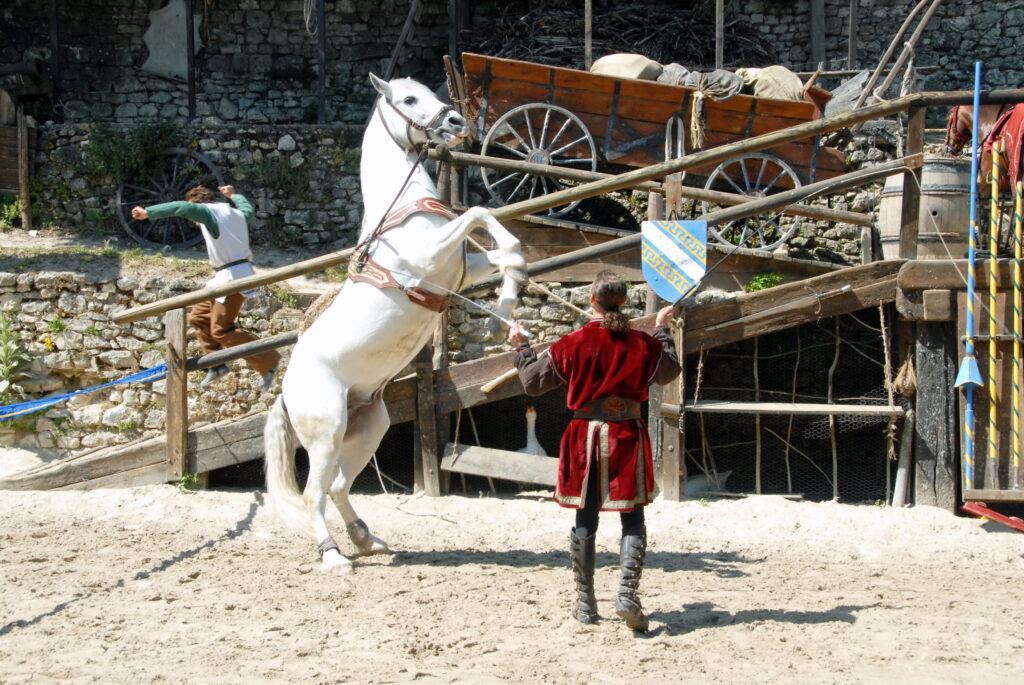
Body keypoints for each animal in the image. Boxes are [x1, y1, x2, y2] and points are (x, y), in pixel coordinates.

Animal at [262, 72, 528, 569]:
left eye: (432, 91)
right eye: (408, 99)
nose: (456, 122)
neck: (402, 209)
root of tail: (286, 394)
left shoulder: (458, 271)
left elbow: (505, 257)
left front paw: (501, 316)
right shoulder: (429, 260)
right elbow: (478, 213)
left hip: (369, 426)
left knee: (338, 487)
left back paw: (367, 539)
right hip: (326, 434)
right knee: (313, 494)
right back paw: (334, 556)